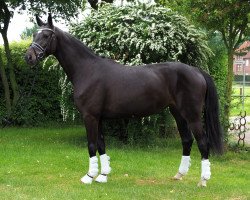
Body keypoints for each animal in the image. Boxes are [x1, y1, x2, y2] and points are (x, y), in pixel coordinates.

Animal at [25, 14, 223, 188]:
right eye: (35, 34)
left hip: (192, 115)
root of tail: (196, 71)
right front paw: (103, 175)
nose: (29, 57)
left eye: (46, 35)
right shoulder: (99, 118)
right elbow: (101, 144)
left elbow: (91, 145)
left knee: (203, 143)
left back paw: (203, 180)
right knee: (187, 140)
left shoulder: (90, 116)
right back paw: (179, 174)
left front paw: (89, 176)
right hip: (178, 113)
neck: (87, 70)